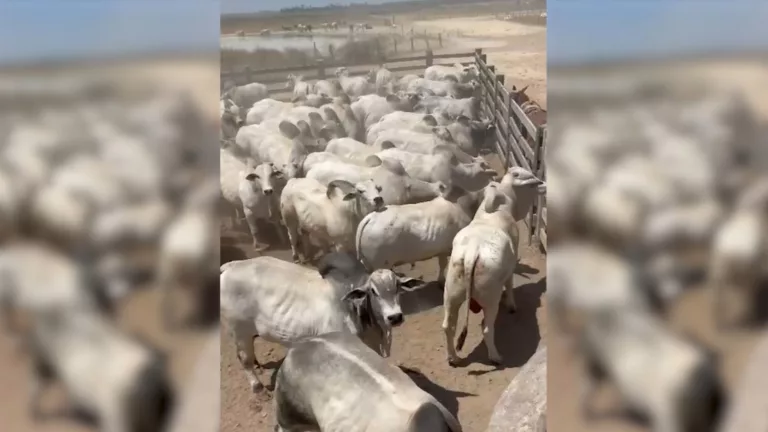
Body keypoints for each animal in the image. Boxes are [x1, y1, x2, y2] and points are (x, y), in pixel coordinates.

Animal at [219, 253, 426, 392]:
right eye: (373, 291)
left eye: (398, 287)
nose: (395, 317)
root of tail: (231, 266)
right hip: (239, 331)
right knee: (244, 359)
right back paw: (257, 387)